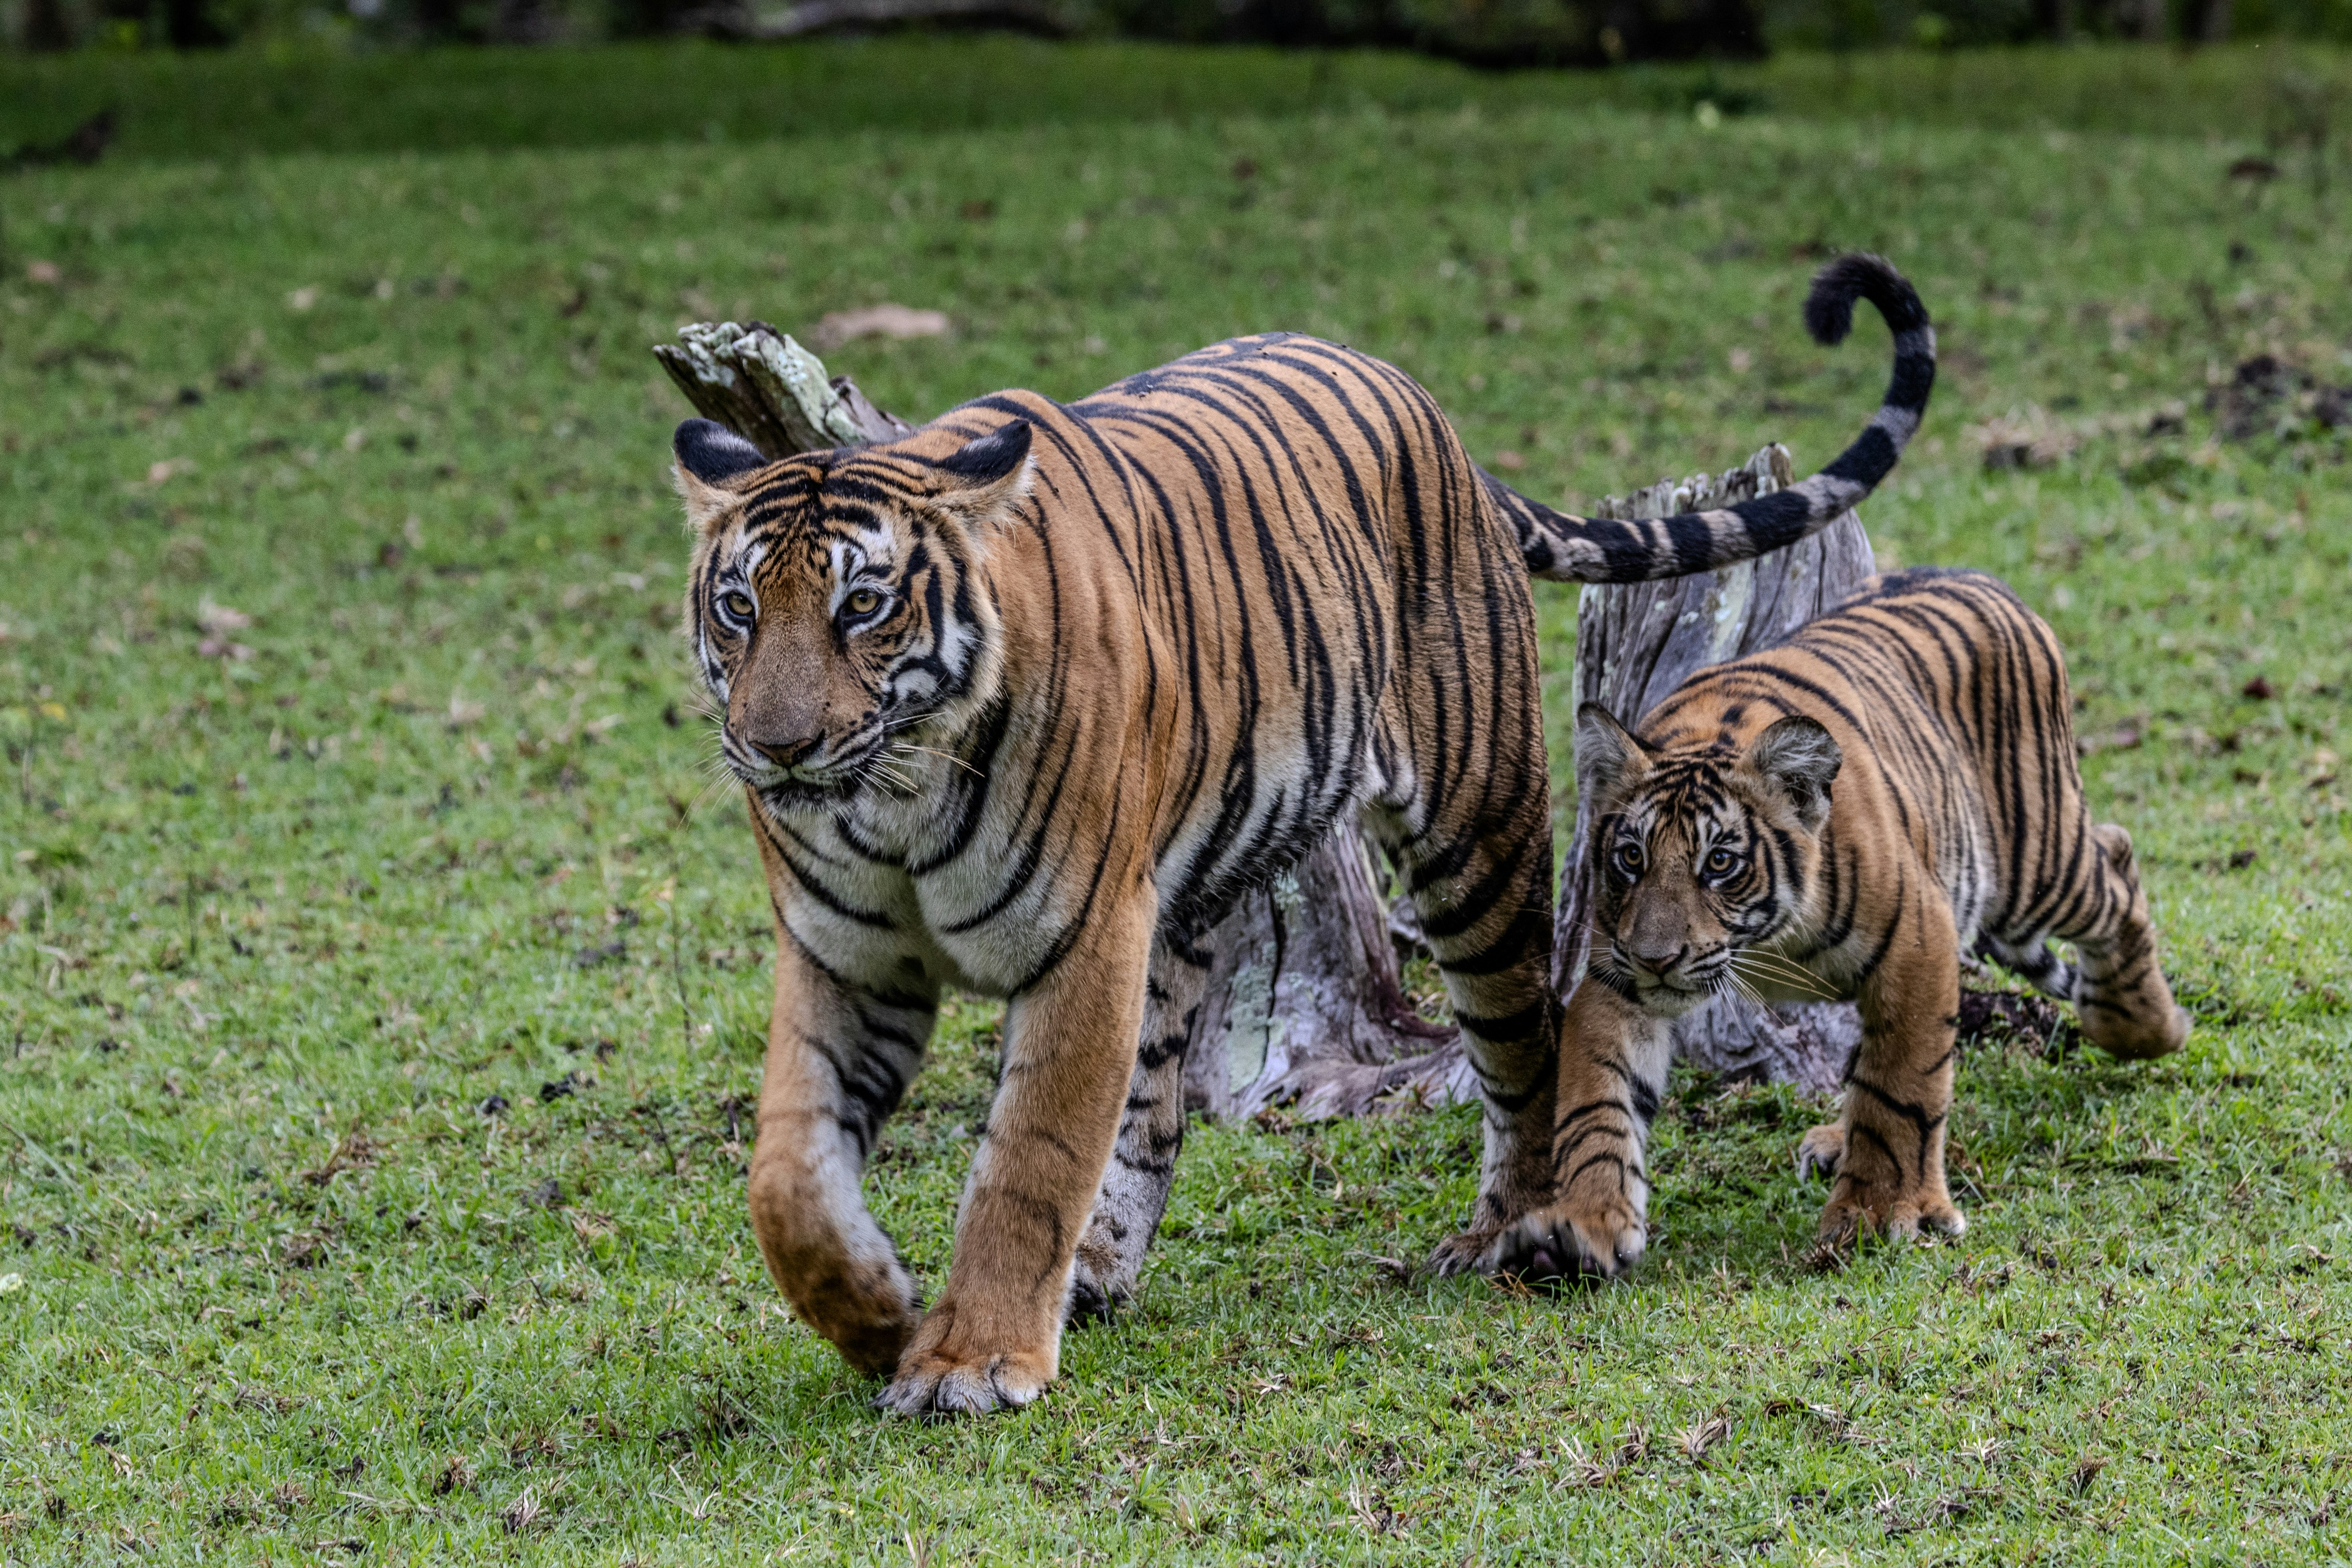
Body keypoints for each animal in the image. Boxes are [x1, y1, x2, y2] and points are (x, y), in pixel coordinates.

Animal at [669, 255, 1935, 1415]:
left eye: (863, 606)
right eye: (740, 607)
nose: (776, 746)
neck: (891, 795)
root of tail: (1423, 404)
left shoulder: (1081, 943)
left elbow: (1028, 1159)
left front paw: (971, 1360)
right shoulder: (844, 957)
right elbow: (787, 1176)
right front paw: (878, 1314)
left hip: (1476, 841)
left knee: (1528, 1045)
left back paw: (1515, 1231)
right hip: (1187, 904)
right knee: (1154, 1111)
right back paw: (1098, 1274)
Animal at [1487, 567, 2191, 1283]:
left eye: (1720, 863)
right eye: (1632, 857)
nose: (1658, 958)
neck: (1767, 940)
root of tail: (1980, 577)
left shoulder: (1918, 941)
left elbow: (1899, 1089)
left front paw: (1876, 1215)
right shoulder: (1617, 969)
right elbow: (1597, 1100)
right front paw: (1584, 1224)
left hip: (2034, 860)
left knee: (2116, 861)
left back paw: (2145, 1027)